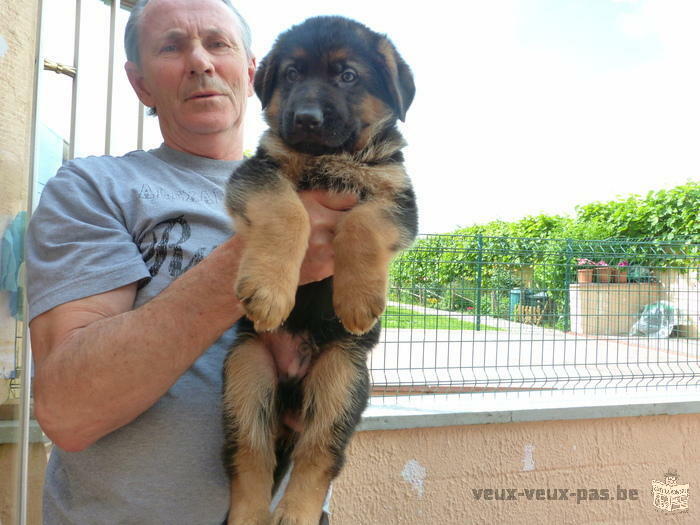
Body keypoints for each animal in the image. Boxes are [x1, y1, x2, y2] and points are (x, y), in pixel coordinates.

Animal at [223, 16, 416, 524]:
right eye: (291, 74)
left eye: (347, 75)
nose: (306, 118)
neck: (330, 156)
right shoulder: (257, 173)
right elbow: (287, 210)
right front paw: (270, 291)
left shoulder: (399, 200)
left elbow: (363, 223)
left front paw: (358, 298)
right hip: (247, 369)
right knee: (249, 452)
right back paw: (251, 513)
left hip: (342, 376)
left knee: (320, 452)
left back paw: (296, 511)